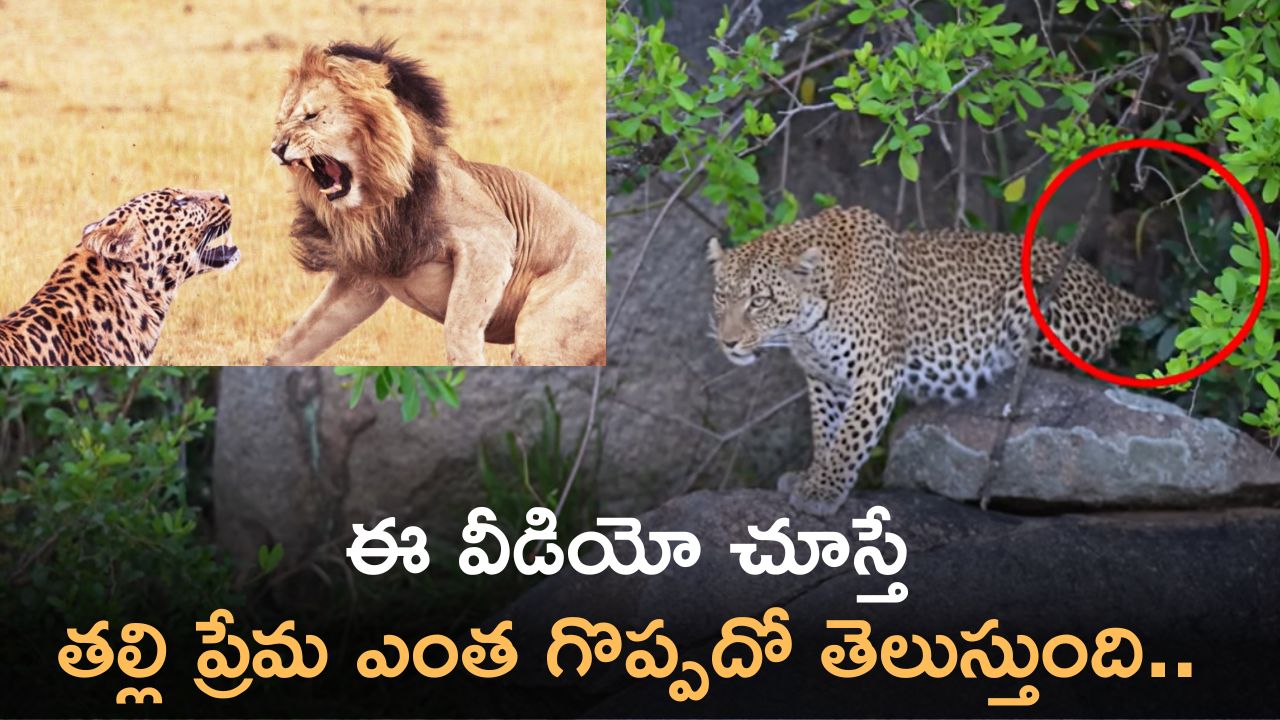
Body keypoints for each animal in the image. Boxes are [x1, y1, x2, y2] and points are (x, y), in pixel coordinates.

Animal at [707, 205, 1156, 516]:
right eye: (721, 296)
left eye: (759, 301)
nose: (729, 343)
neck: (804, 325)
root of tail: (1105, 284)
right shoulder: (825, 381)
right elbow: (826, 431)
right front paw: (813, 475)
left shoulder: (876, 373)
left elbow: (851, 436)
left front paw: (822, 492)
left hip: (1033, 301)